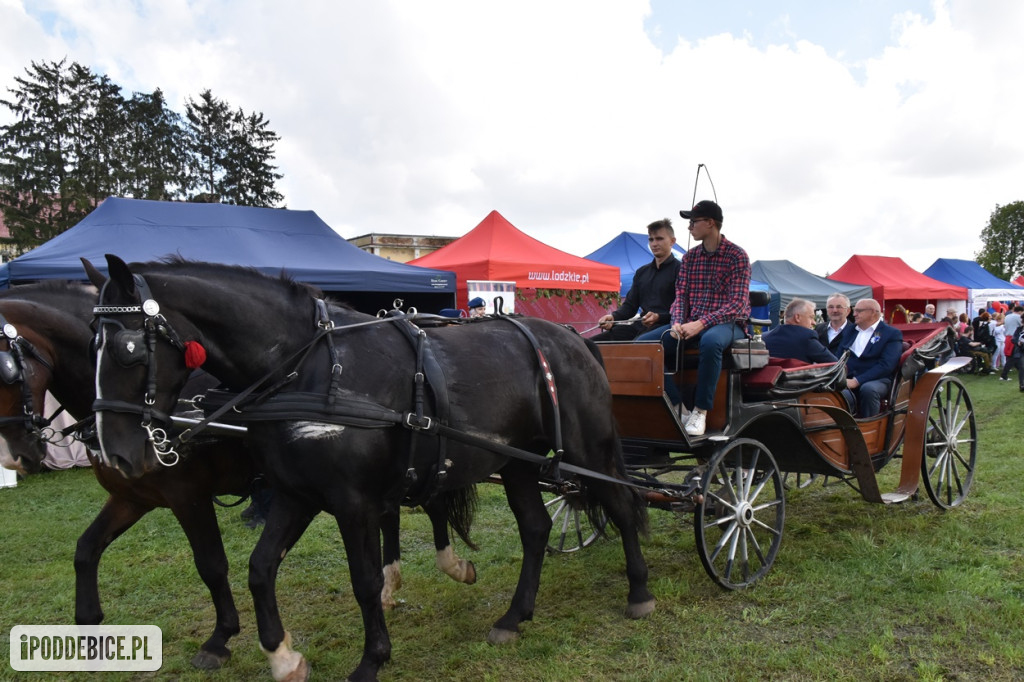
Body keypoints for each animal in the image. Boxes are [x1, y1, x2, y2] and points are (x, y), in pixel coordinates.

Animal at [0, 280, 475, 667]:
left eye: (5, 371)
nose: (17, 457)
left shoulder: (188, 495)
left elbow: (211, 564)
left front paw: (220, 639)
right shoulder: (131, 497)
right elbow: (86, 550)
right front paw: (88, 633)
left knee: (432, 503)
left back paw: (450, 565)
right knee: (395, 513)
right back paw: (392, 584)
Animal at [88, 254, 651, 679]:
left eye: (127, 349)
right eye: (93, 344)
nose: (115, 453)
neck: (308, 367)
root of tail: (576, 339)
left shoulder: (352, 504)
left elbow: (363, 580)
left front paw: (371, 660)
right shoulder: (295, 495)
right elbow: (259, 569)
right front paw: (284, 657)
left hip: (588, 450)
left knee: (623, 505)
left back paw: (640, 591)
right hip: (516, 463)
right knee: (535, 529)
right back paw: (514, 617)